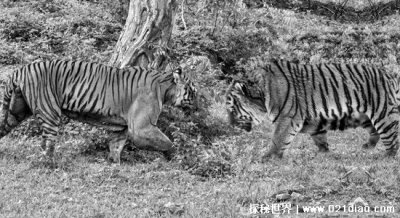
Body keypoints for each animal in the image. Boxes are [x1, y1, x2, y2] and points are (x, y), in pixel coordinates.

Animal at [0, 58, 197, 163]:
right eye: (193, 91)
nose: (197, 106)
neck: (165, 89)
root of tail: (20, 70)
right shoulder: (141, 128)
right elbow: (167, 142)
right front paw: (177, 156)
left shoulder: (122, 128)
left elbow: (116, 146)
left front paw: (114, 165)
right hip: (49, 112)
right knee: (47, 143)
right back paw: (50, 164)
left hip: (15, 112)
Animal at [225, 60, 400, 161]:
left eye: (232, 110)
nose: (230, 125)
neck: (262, 95)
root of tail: (389, 75)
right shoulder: (314, 119)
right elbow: (319, 136)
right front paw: (324, 152)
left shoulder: (287, 117)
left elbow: (278, 138)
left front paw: (268, 157)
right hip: (364, 116)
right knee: (375, 131)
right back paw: (367, 146)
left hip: (382, 112)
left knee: (391, 135)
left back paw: (388, 156)